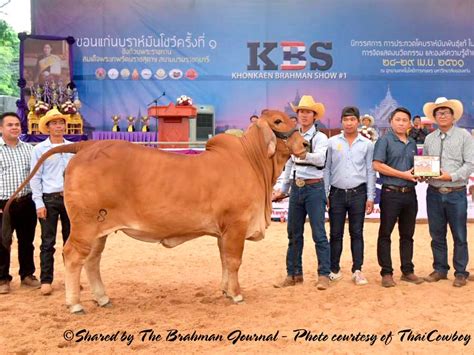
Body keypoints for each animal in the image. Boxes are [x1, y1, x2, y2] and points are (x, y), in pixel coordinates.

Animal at [2, 109, 308, 314]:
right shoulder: (235, 226)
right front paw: (236, 294)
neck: (253, 161)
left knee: (92, 261)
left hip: (100, 228)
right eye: (278, 121)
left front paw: (224, 290)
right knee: (73, 256)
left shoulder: (223, 232)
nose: (305, 144)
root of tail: (88, 144)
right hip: (84, 225)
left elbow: (224, 261)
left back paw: (102, 298)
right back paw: (75, 304)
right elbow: (233, 261)